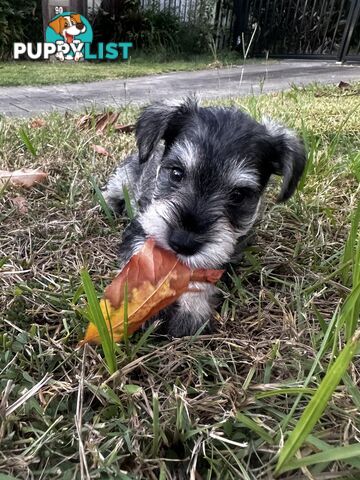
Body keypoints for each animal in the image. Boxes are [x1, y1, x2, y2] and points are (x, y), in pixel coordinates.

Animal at [102, 97, 306, 338]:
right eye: (176, 173)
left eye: (238, 196)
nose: (183, 243)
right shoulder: (141, 228)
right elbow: (141, 262)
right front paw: (139, 308)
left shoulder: (228, 252)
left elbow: (203, 273)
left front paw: (191, 310)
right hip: (125, 177)